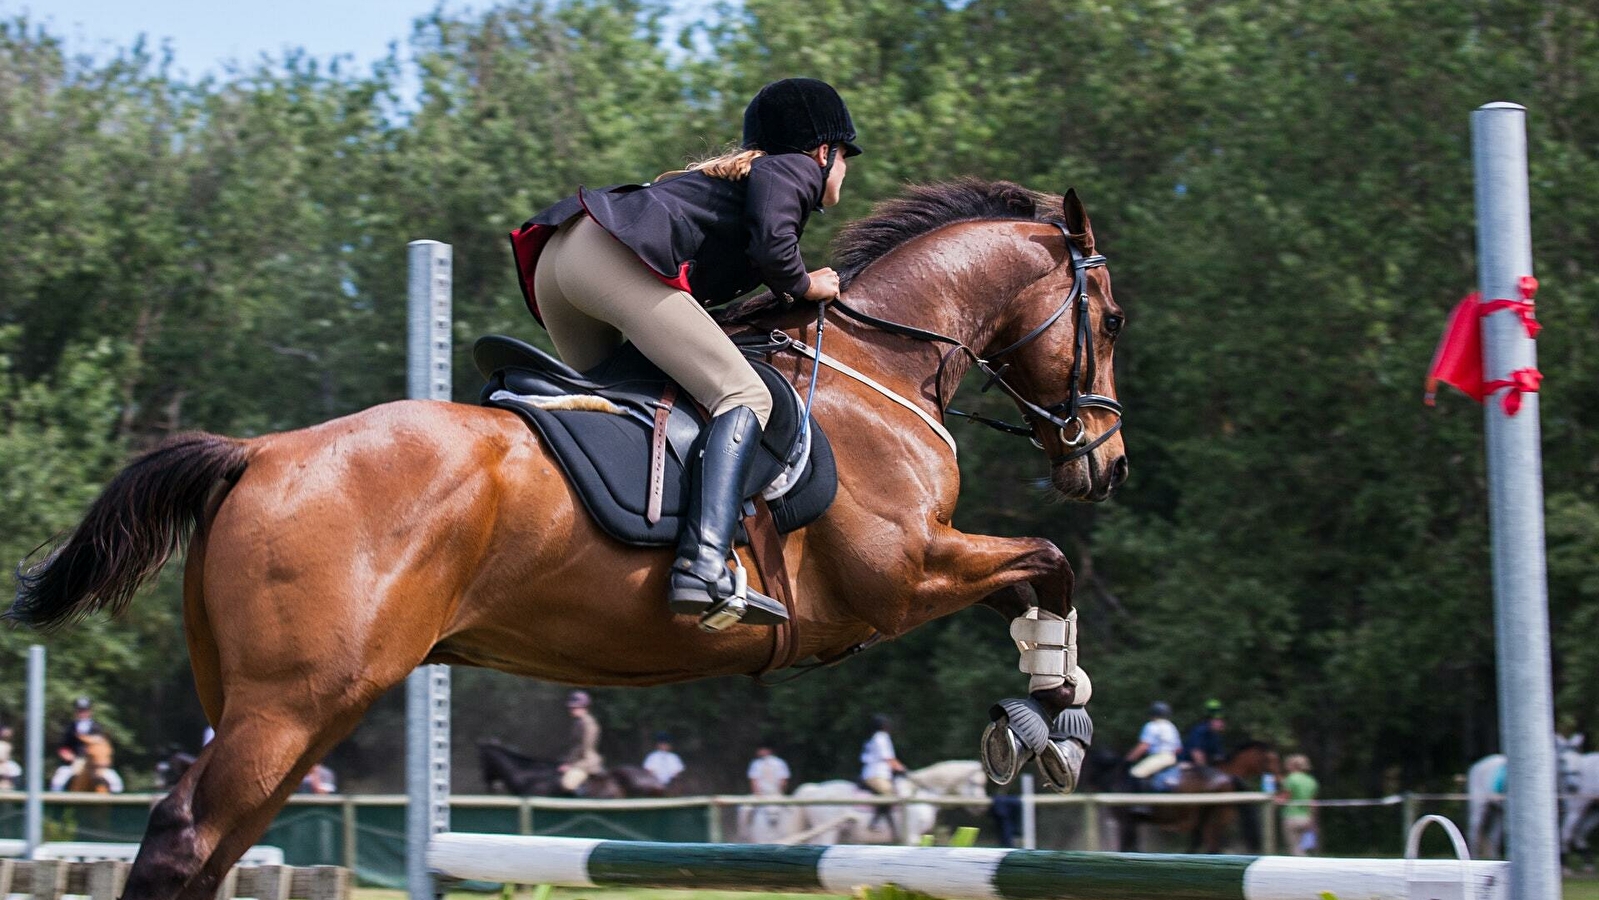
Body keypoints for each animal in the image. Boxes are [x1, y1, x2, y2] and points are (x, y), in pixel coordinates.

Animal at [745, 760, 991, 844]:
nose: (982, 807)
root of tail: (813, 789)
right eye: (976, 783)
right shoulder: (911, 835)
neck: (923, 791)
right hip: (829, 831)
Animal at [1080, 741, 1279, 856]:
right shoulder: (1131, 823)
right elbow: (1132, 849)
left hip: (1210, 820)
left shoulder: (1126, 822)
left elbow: (1126, 848)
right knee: (1209, 847)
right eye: (1269, 758)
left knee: (1209, 847)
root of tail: (1226, 777)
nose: (1278, 781)